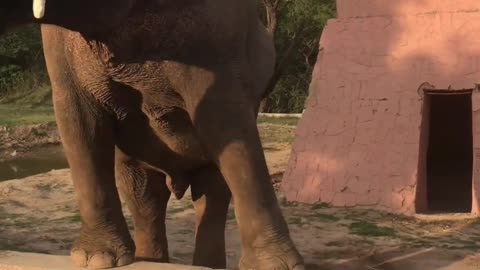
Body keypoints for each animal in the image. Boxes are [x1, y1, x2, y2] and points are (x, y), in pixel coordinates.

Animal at [0, 0, 304, 270]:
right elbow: (77, 116)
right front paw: (96, 260)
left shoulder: (220, 33)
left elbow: (225, 117)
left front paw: (277, 267)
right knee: (143, 195)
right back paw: (150, 260)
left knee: (212, 192)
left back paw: (205, 265)